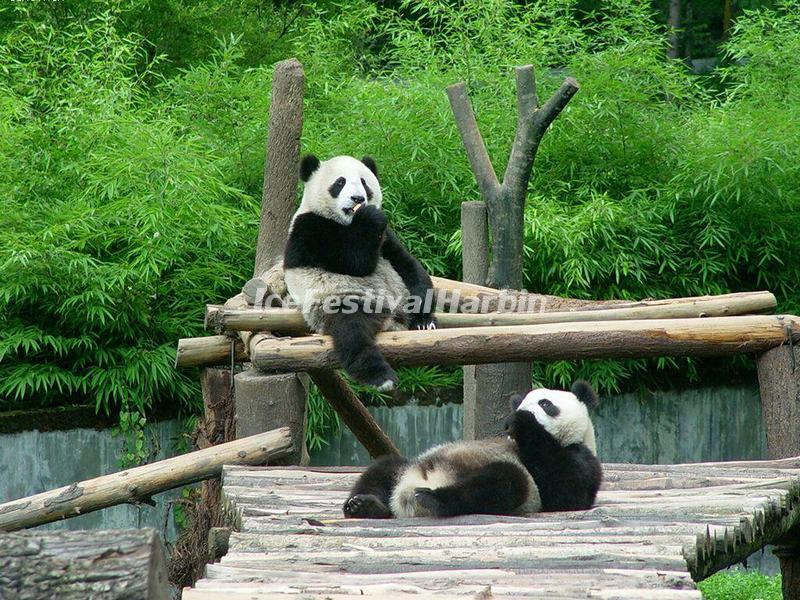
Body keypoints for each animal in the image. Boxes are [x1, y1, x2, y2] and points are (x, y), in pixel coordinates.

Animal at [279, 154, 436, 391]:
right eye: (340, 182)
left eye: (364, 182)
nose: (357, 198)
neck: (347, 222)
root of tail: (393, 320)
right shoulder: (309, 230)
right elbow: (355, 261)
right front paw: (369, 216)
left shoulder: (386, 238)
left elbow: (409, 266)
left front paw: (424, 316)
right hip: (345, 300)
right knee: (352, 334)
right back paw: (380, 377)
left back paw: (422, 323)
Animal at [342, 380, 602, 519]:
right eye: (520, 402)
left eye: (545, 404)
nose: (518, 413)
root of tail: (405, 496)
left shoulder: (578, 456)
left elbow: (566, 492)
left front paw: (523, 422)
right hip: (408, 465)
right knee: (383, 468)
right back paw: (364, 505)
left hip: (516, 486)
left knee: (503, 481)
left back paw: (432, 498)